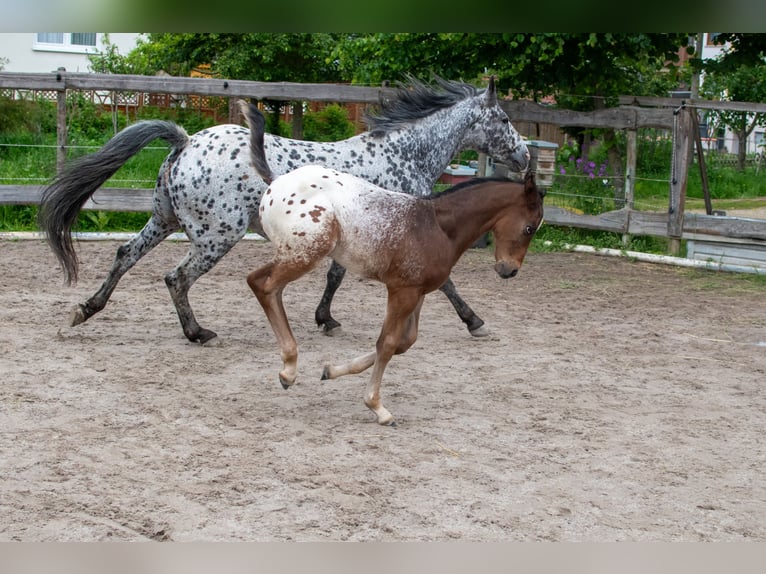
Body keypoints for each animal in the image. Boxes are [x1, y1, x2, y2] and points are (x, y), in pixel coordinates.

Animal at [39, 76, 532, 346]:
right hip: (216, 235)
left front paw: (325, 319)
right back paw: (198, 333)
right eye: (506, 120)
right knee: (175, 277)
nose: (526, 156)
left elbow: (335, 276)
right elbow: (444, 281)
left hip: (165, 220)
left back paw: (85, 310)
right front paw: (475, 322)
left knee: (124, 255)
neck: (402, 155)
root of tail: (185, 140)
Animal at [243, 103, 544, 428]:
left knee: (260, 282)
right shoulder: (402, 291)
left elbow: (404, 342)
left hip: (293, 253)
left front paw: (331, 371)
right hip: (305, 254)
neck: (438, 227)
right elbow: (387, 343)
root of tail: (275, 182)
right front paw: (376, 406)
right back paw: (288, 368)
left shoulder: (419, 292)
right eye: (529, 228)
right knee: (264, 285)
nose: (508, 270)